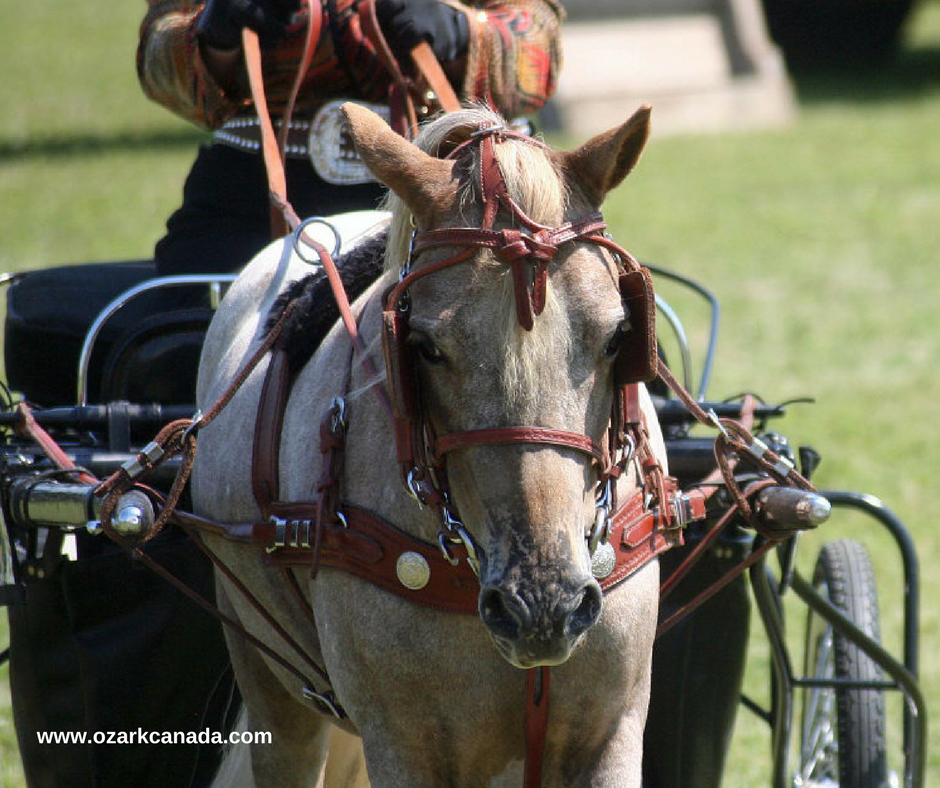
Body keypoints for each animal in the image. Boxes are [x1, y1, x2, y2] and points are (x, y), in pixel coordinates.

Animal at [193, 101, 669, 788]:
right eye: (425, 347)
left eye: (616, 338)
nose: (541, 603)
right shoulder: (403, 748)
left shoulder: (611, 736)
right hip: (272, 689)